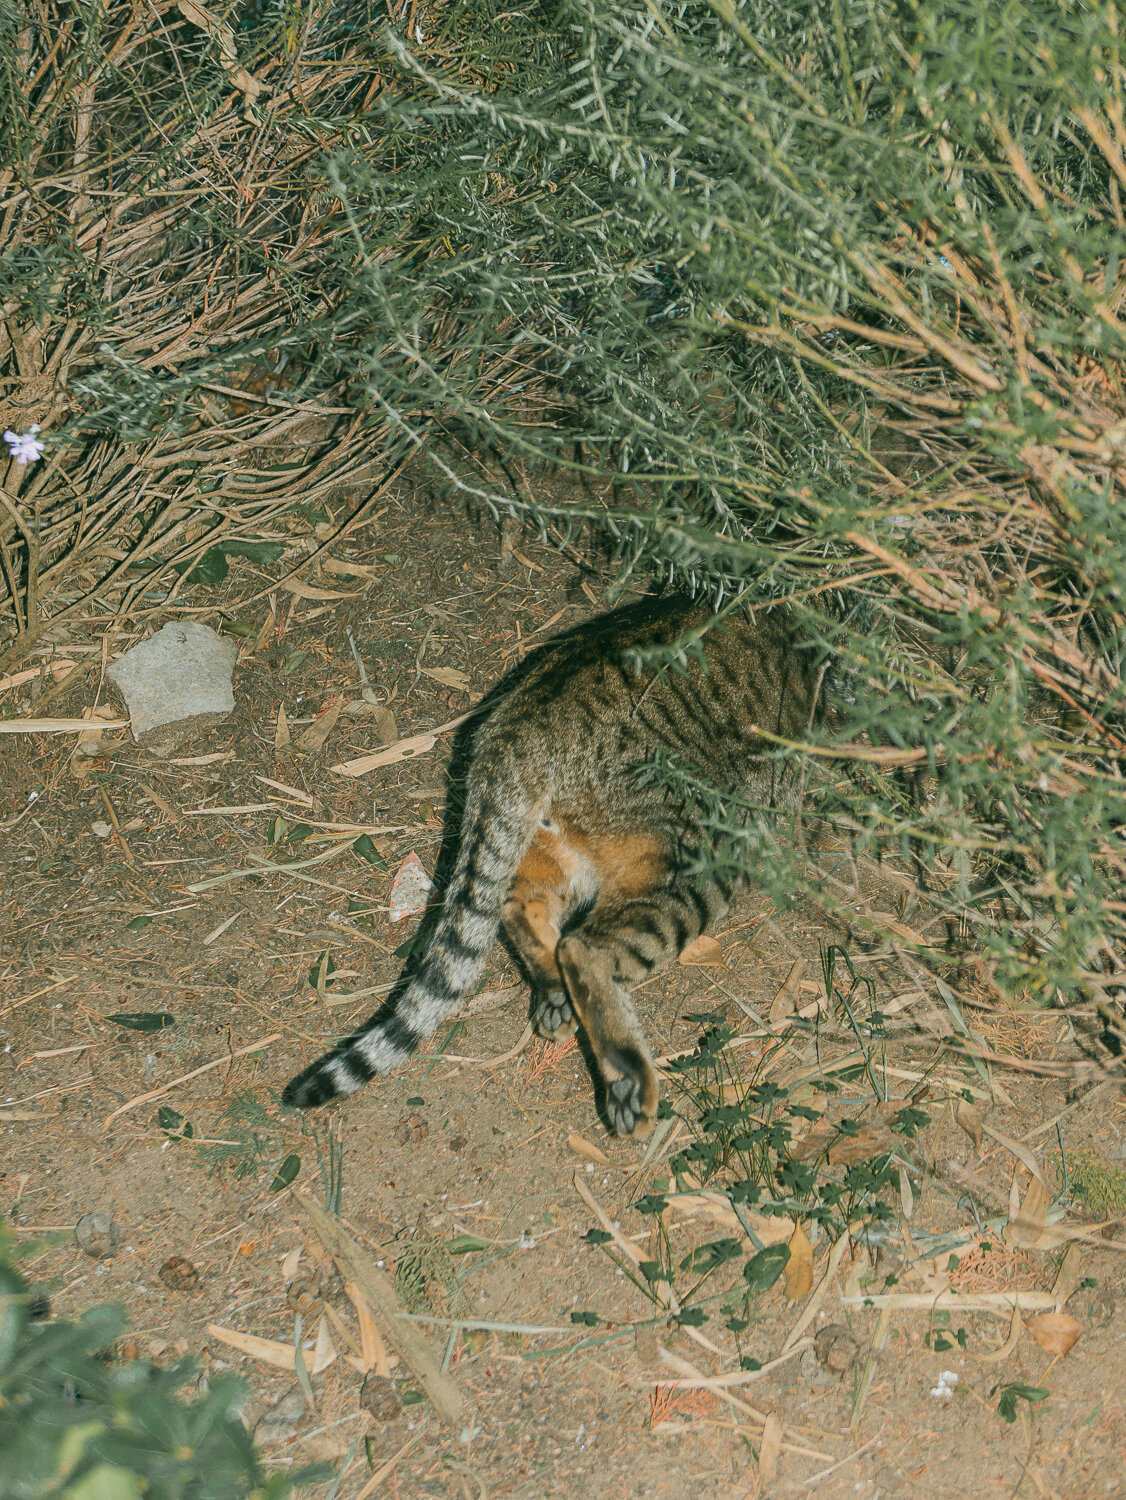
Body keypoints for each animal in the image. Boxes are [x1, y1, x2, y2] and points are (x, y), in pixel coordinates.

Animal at [283, 591, 821, 1128]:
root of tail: (521, 727)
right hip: (698, 852)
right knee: (586, 948)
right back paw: (628, 1078)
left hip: (549, 848)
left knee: (515, 906)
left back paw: (554, 991)